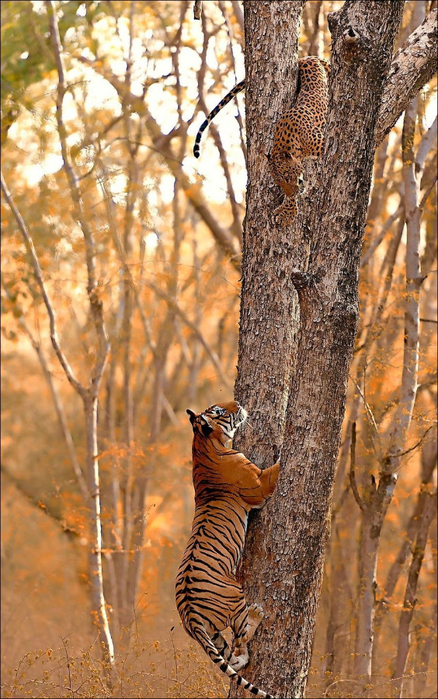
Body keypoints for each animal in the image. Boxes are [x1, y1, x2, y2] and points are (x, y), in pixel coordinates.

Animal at [174, 402, 278, 699]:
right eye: (220, 411)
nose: (239, 404)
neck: (203, 444)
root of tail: (190, 614)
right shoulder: (260, 484)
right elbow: (277, 468)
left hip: (211, 633)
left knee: (233, 657)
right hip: (235, 597)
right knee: (242, 635)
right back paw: (256, 614)